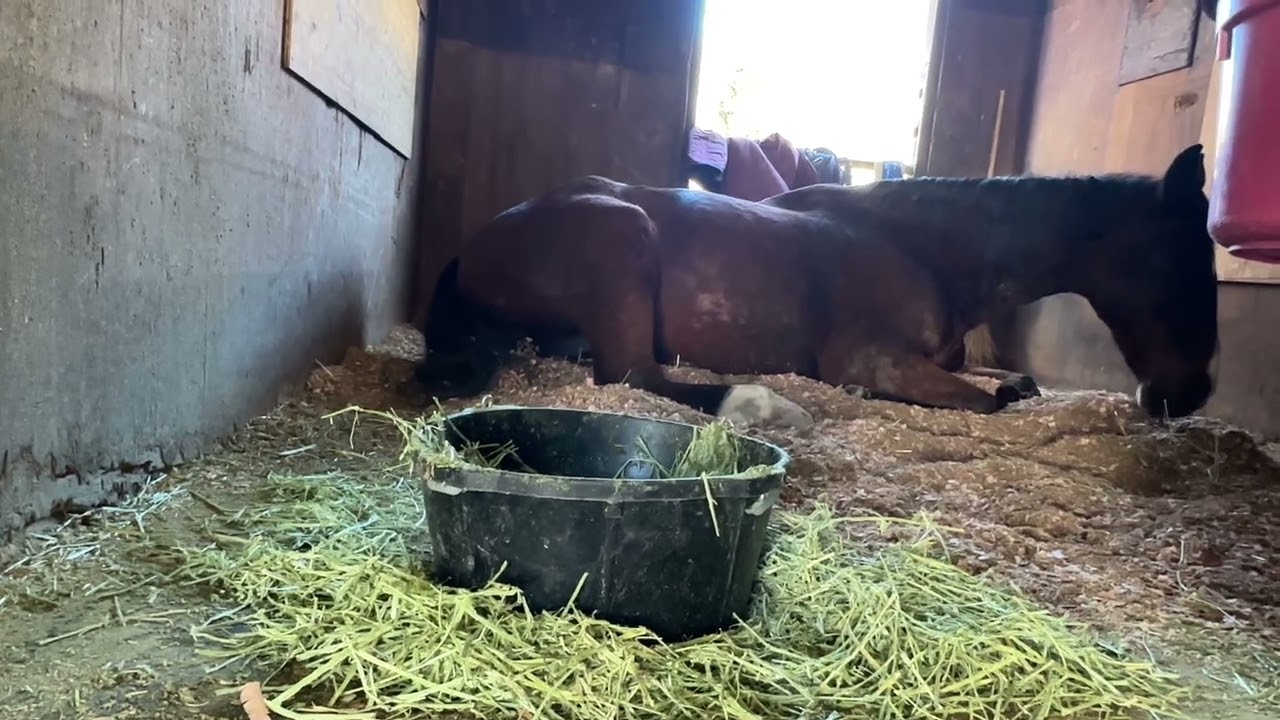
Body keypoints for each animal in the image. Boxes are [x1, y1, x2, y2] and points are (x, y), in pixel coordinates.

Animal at [412, 143, 1218, 430]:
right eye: (1181, 264)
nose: (1189, 394)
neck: (921, 248)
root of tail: (477, 245)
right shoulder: (869, 357)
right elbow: (989, 402)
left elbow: (1013, 382)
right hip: (623, 240)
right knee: (634, 375)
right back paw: (760, 403)